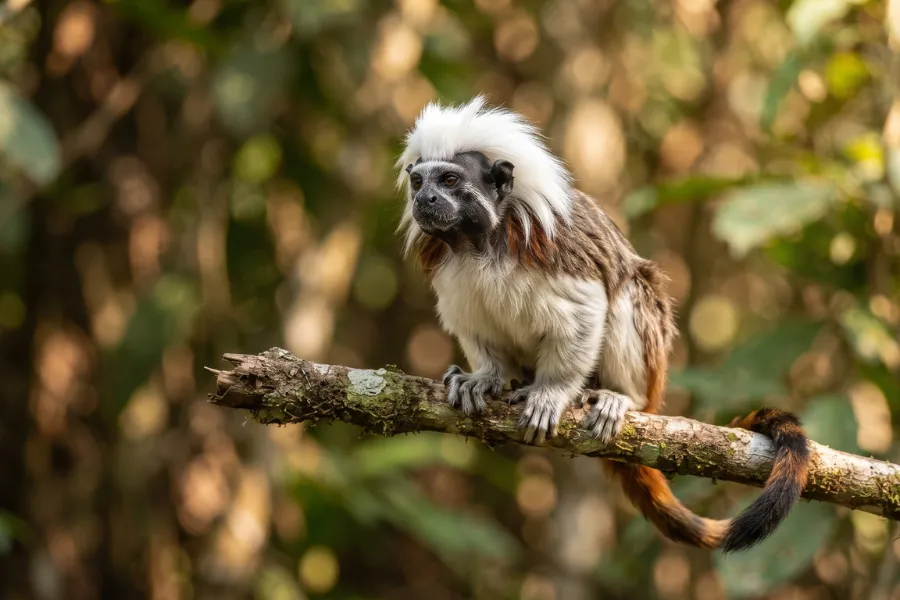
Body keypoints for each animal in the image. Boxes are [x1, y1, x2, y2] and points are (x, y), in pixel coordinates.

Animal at [394, 96, 810, 553]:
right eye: (418, 182)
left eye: (450, 179)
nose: (426, 198)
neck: (479, 241)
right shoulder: (452, 272)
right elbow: (475, 327)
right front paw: (484, 377)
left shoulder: (554, 250)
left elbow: (588, 307)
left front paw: (552, 393)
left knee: (628, 289)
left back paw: (618, 397)